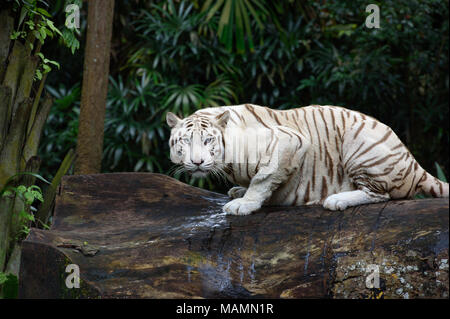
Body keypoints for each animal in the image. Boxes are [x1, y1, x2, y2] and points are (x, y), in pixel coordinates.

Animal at [166, 104, 450, 216]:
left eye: (207, 141)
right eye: (185, 141)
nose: (197, 162)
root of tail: (413, 164)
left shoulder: (290, 141)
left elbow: (262, 178)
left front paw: (244, 204)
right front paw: (239, 191)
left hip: (359, 141)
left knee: (381, 194)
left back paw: (336, 199)